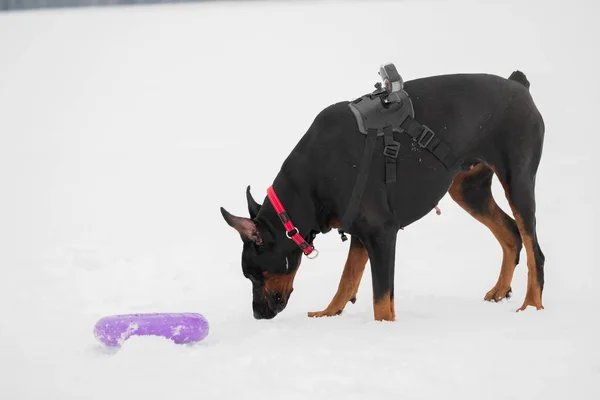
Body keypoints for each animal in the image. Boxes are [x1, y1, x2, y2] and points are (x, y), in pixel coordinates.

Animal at [219, 70, 544, 322]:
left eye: (254, 275)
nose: (257, 314)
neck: (311, 182)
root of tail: (519, 86)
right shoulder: (360, 233)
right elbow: (347, 280)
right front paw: (328, 314)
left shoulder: (381, 232)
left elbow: (381, 299)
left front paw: (383, 330)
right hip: (467, 190)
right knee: (510, 233)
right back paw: (500, 290)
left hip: (517, 180)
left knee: (533, 249)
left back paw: (532, 305)